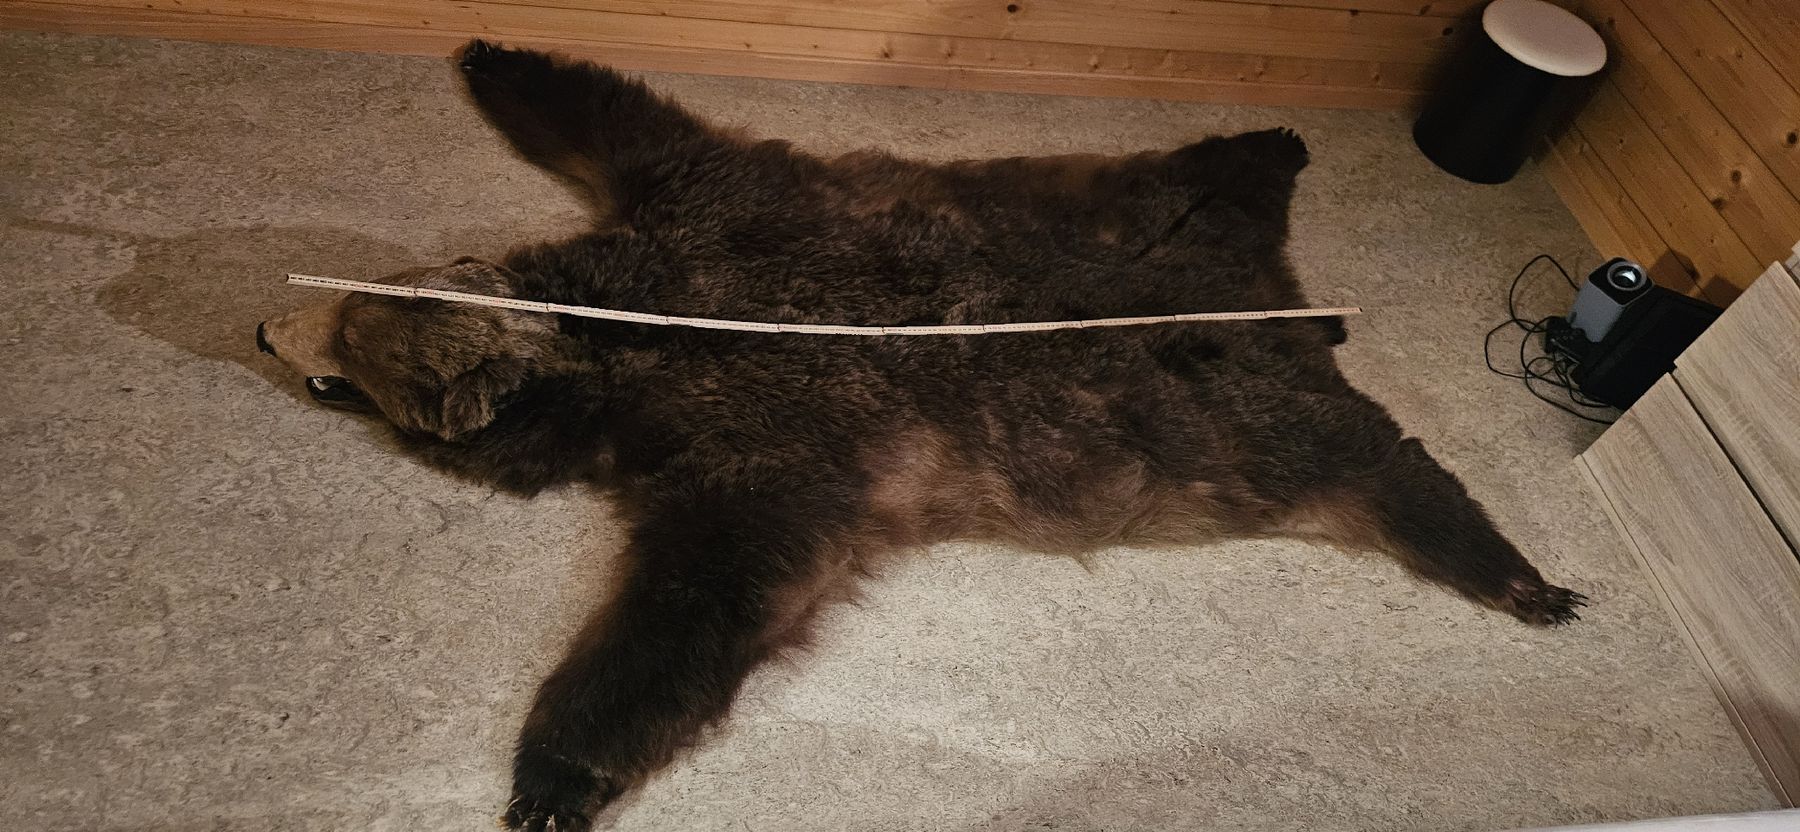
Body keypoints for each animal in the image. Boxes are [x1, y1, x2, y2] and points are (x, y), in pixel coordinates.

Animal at [255, 39, 1584, 831]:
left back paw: (1514, 569)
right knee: (1195, 178)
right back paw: (1267, 144)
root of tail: (1283, 304)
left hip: (1256, 435)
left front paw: (557, 770)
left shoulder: (767, 456)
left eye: (350, 368)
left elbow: (687, 615)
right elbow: (623, 115)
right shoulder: (715, 204)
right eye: (351, 303)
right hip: (1134, 212)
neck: (626, 332)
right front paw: (501, 54)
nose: (266, 326)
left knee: (1389, 471)